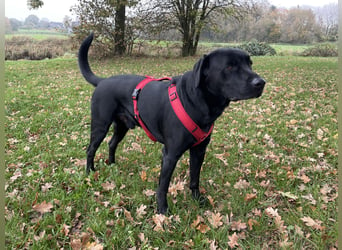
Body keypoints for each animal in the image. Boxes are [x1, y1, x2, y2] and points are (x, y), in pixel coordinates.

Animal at [79, 33, 266, 214]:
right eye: (229, 67)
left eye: (250, 64)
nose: (261, 83)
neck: (194, 100)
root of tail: (102, 81)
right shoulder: (170, 154)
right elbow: (163, 186)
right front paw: (162, 210)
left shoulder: (199, 150)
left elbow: (194, 178)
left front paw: (197, 200)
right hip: (100, 125)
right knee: (90, 149)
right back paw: (90, 172)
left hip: (122, 126)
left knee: (112, 143)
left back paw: (112, 164)